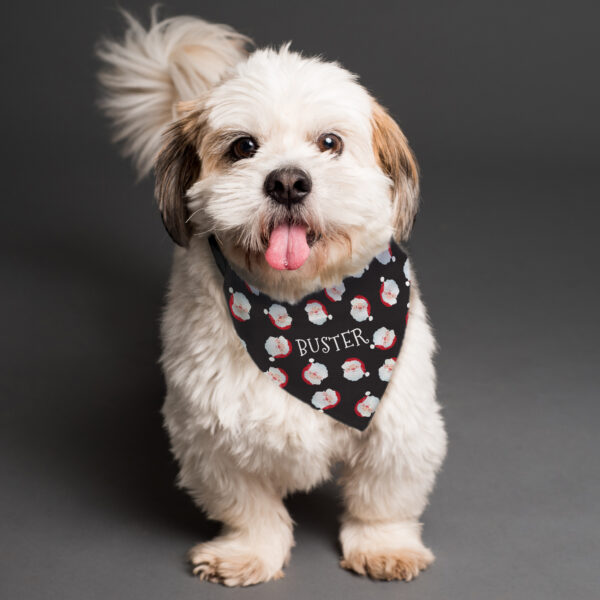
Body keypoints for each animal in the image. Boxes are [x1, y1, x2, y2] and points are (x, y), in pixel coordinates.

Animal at [97, 10, 446, 584]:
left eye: (329, 142)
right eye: (243, 147)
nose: (287, 181)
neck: (302, 309)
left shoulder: (398, 423)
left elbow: (382, 497)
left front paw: (384, 545)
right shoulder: (210, 435)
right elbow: (249, 507)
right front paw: (248, 552)